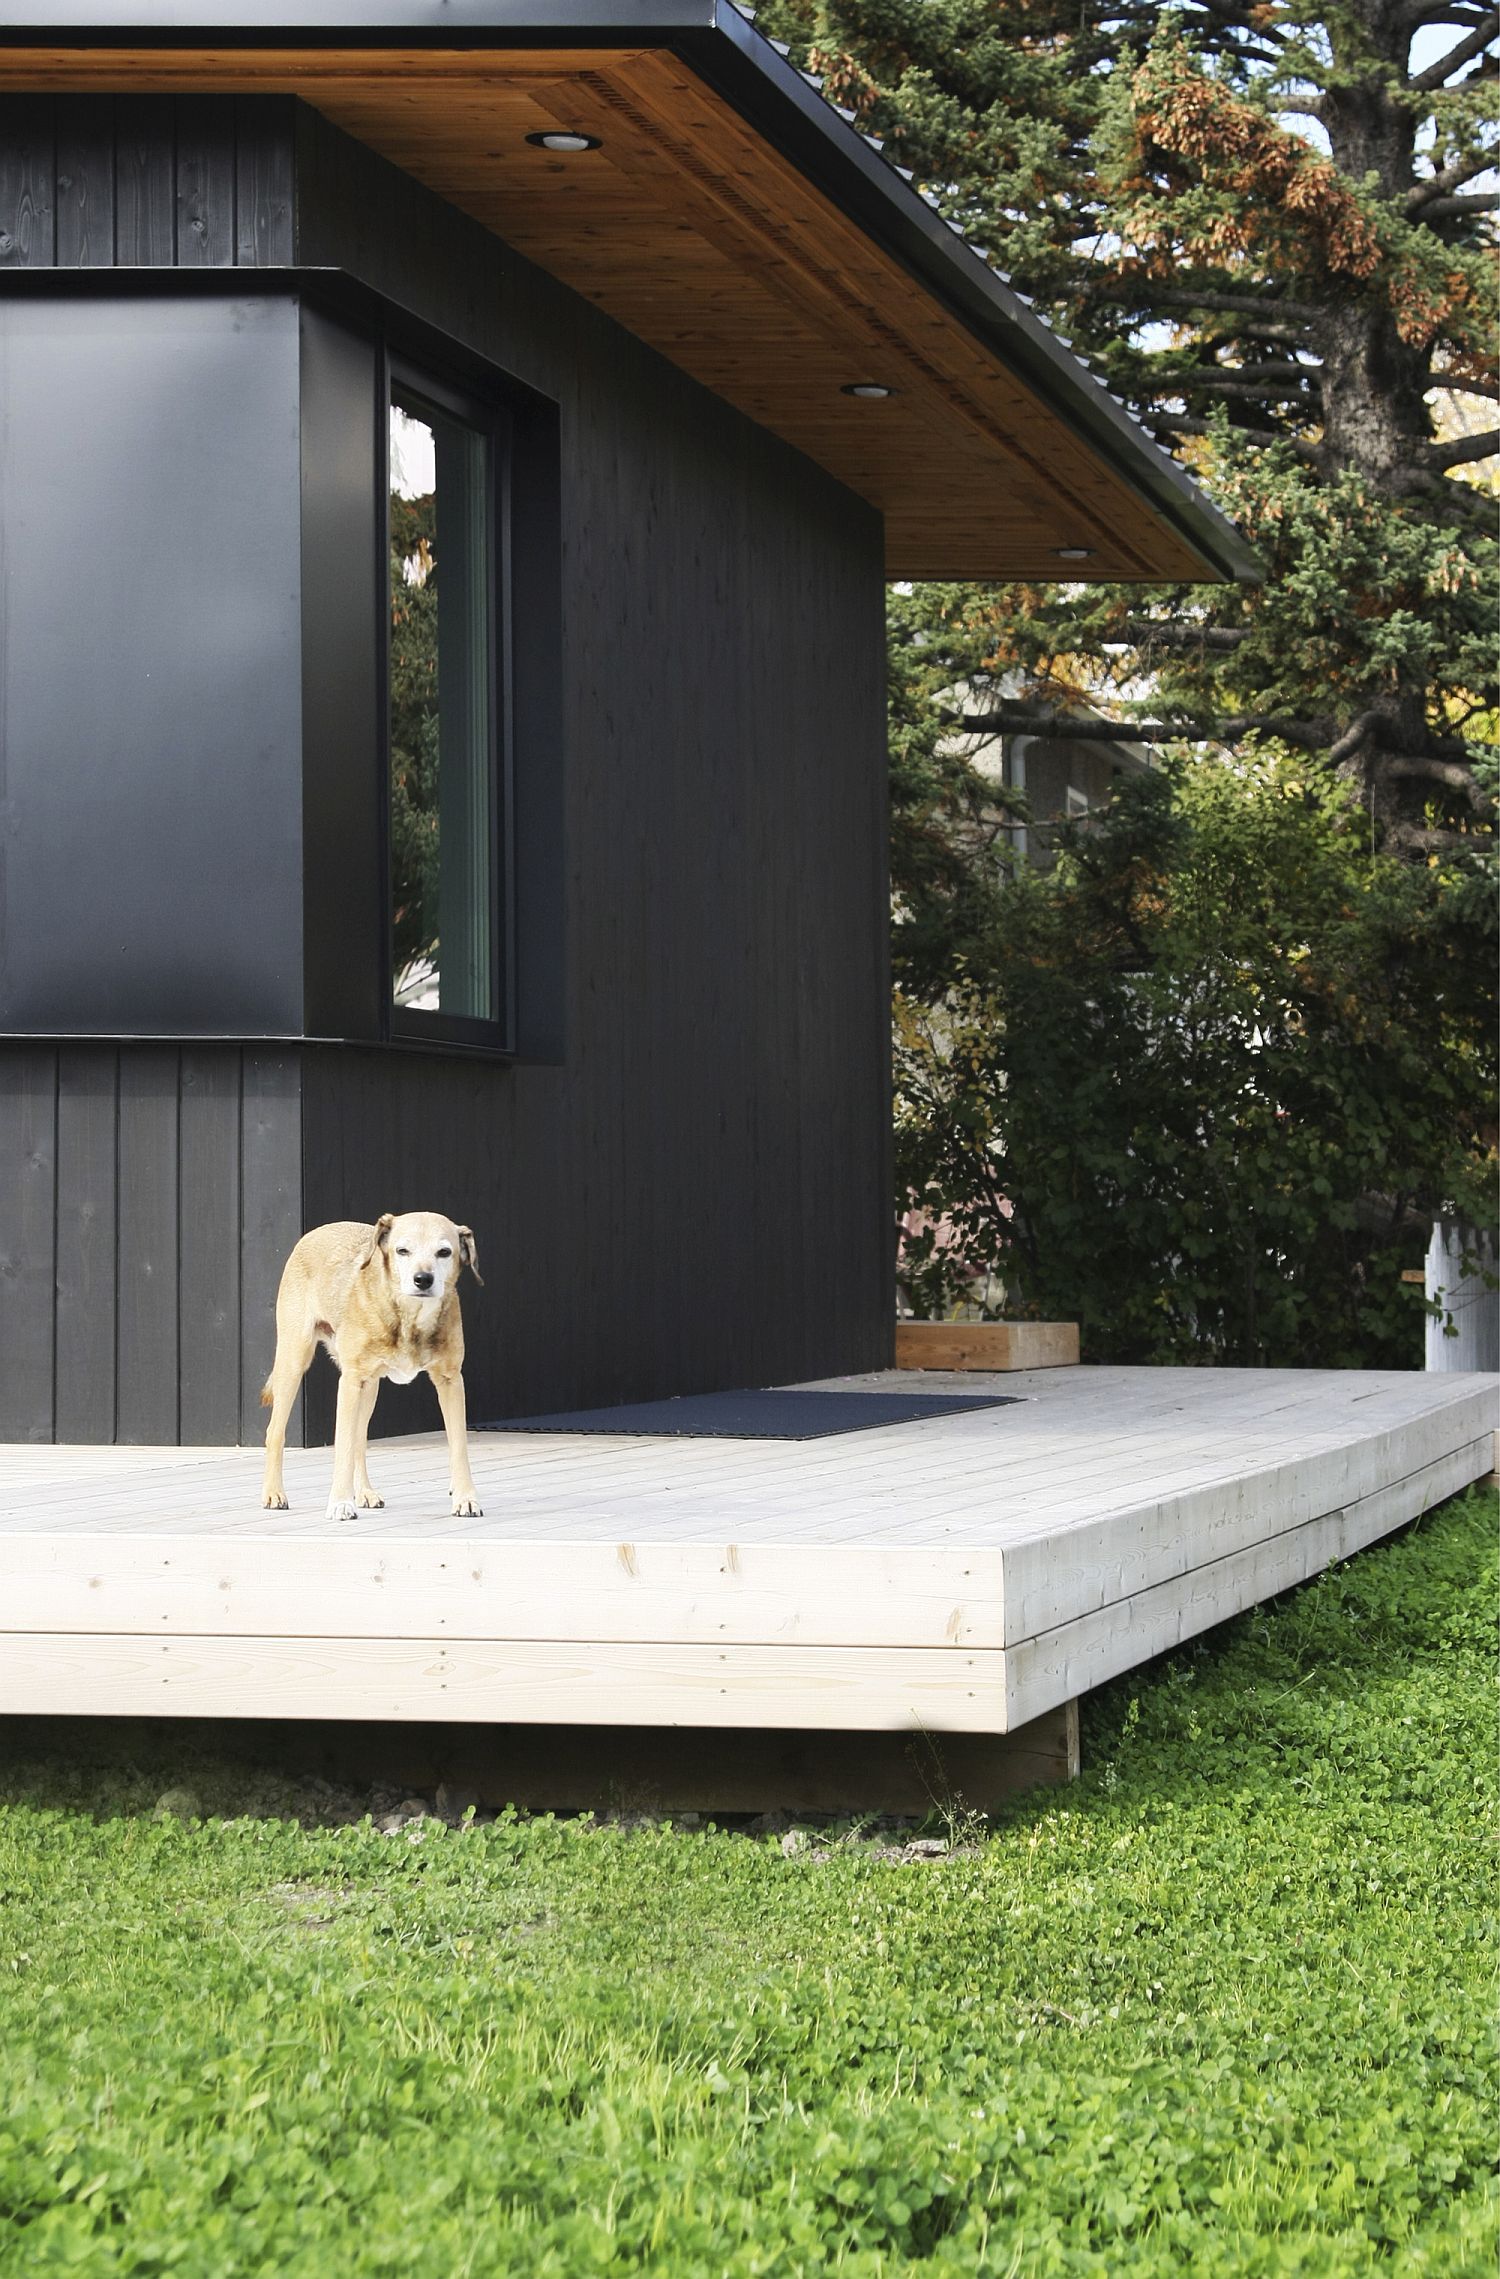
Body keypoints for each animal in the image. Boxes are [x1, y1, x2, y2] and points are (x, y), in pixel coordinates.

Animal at [259, 1221, 481, 1522]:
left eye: (444, 1252)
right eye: (402, 1250)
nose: (423, 1279)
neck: (410, 1316)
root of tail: (315, 1232)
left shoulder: (450, 1380)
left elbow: (459, 1446)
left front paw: (465, 1498)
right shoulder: (350, 1383)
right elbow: (342, 1446)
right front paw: (340, 1503)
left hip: (370, 1387)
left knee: (359, 1440)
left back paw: (364, 1492)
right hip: (294, 1361)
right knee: (275, 1432)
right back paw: (274, 1493)